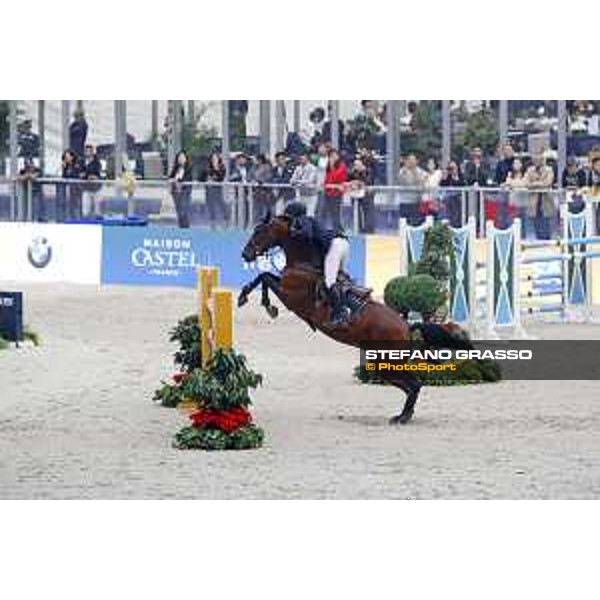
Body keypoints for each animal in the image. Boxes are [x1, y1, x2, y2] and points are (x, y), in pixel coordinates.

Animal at [237, 213, 424, 424]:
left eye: (260, 231)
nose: (245, 254)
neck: (303, 264)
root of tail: (407, 326)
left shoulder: (290, 296)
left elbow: (265, 276)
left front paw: (264, 304)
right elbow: (264, 276)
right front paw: (248, 297)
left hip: (386, 361)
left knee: (414, 384)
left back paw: (403, 416)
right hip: (382, 363)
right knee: (411, 385)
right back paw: (403, 415)